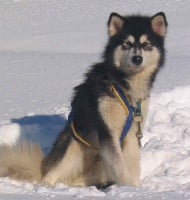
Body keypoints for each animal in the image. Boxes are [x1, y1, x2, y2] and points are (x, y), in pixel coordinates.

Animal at [0, 11, 167, 188]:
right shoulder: (107, 132)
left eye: (146, 44)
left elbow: (133, 165)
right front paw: (129, 187)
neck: (123, 85)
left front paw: (135, 187)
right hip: (73, 148)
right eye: (126, 44)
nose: (137, 59)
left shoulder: (133, 132)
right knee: (50, 176)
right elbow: (120, 165)